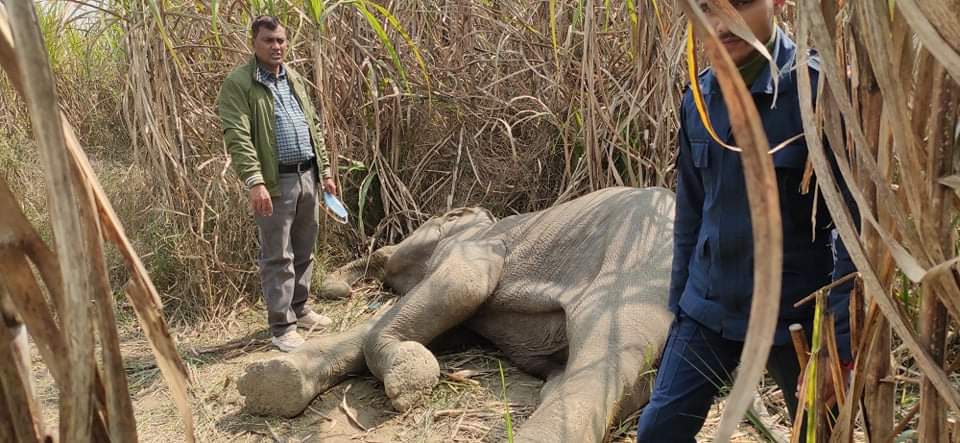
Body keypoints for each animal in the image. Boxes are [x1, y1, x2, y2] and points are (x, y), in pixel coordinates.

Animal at [238, 187, 676, 443]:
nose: (338, 287)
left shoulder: (476, 247)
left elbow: (463, 286)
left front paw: (409, 382)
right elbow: (448, 325)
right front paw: (271, 384)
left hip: (636, 266)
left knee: (604, 355)